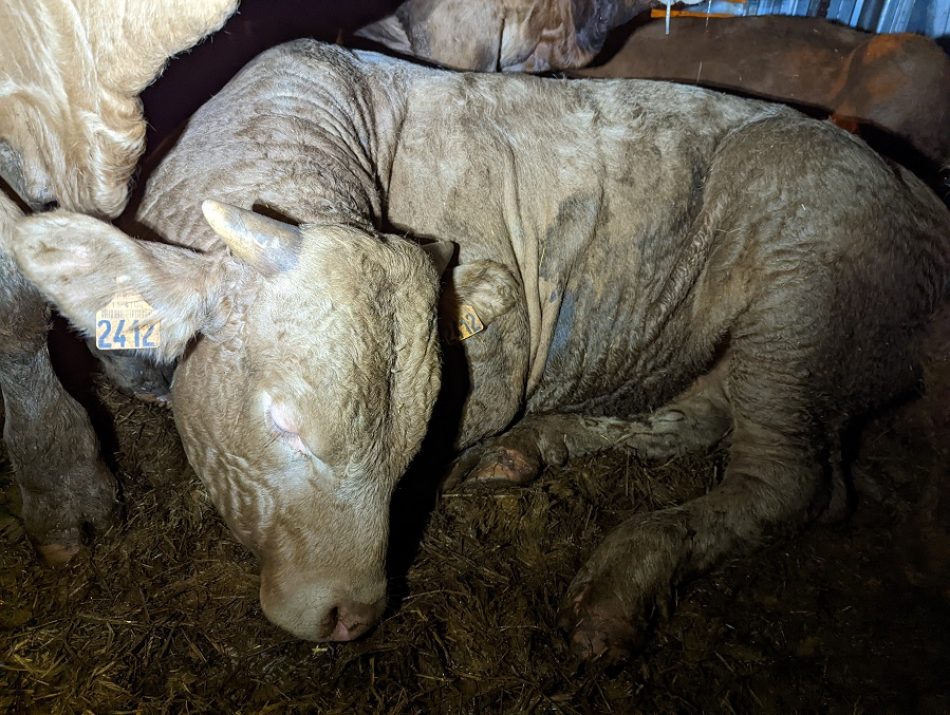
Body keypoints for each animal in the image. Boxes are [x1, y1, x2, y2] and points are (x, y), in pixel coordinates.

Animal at [9, 40, 950, 660]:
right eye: (283, 422)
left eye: (411, 442)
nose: (352, 616)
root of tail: (917, 192)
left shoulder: (493, 374)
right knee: (699, 420)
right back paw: (533, 452)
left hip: (802, 299)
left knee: (792, 481)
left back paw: (621, 581)